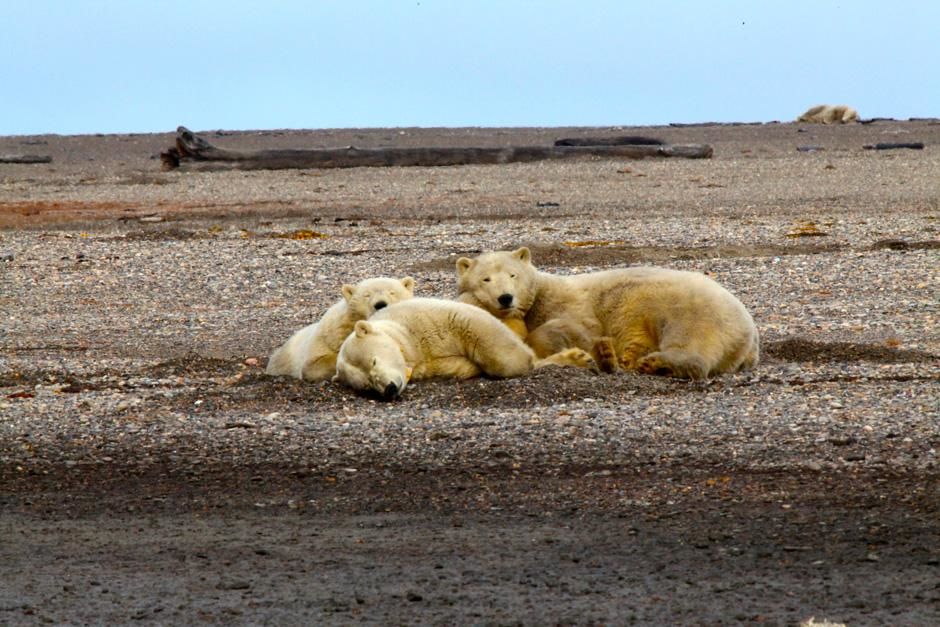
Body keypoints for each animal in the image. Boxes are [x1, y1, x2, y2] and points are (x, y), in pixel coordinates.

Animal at [458, 248, 760, 380]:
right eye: (485, 279)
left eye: (513, 275)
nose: (505, 298)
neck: (542, 291)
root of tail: (751, 335)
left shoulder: (571, 304)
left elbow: (578, 328)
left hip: (691, 310)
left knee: (691, 341)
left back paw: (658, 362)